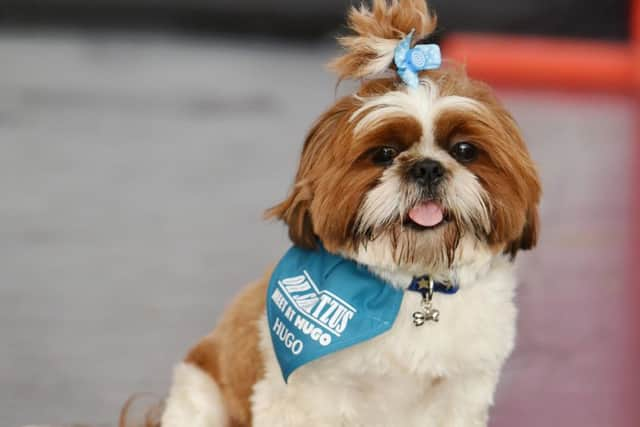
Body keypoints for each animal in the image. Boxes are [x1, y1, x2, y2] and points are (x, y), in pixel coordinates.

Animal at [146, 1, 540, 426]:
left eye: (465, 150)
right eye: (383, 153)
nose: (427, 168)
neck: (415, 287)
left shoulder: (463, 393)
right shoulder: (301, 398)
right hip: (199, 395)